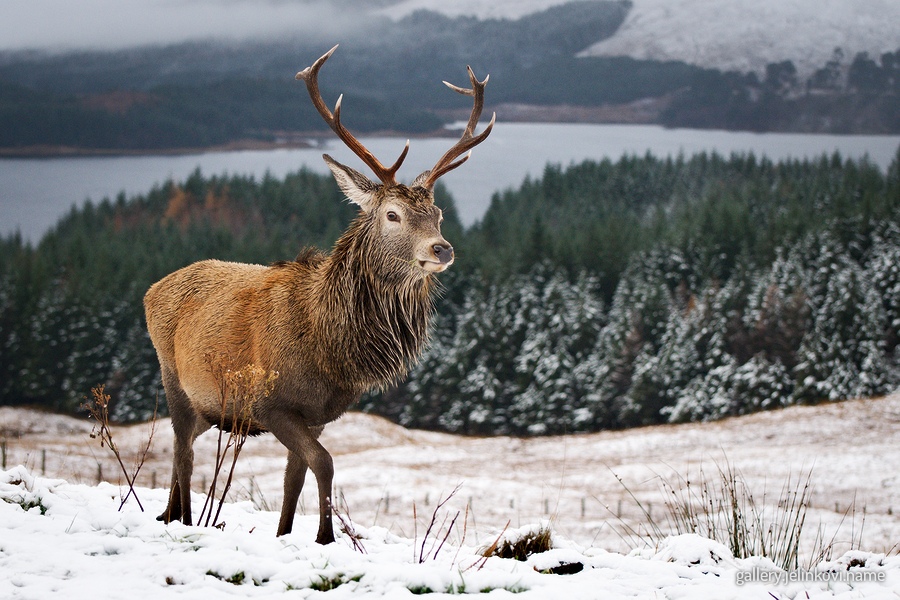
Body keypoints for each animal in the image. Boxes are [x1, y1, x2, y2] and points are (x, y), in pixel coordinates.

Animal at [144, 45, 494, 544]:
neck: (328, 344)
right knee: (181, 452)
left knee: (184, 447)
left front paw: (285, 533)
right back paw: (185, 519)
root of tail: (152, 290)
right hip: (173, 376)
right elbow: (324, 464)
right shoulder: (269, 403)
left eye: (439, 213)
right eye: (392, 214)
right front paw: (326, 537)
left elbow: (295, 476)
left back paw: (168, 514)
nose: (441, 249)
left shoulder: (317, 414)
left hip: (208, 405)